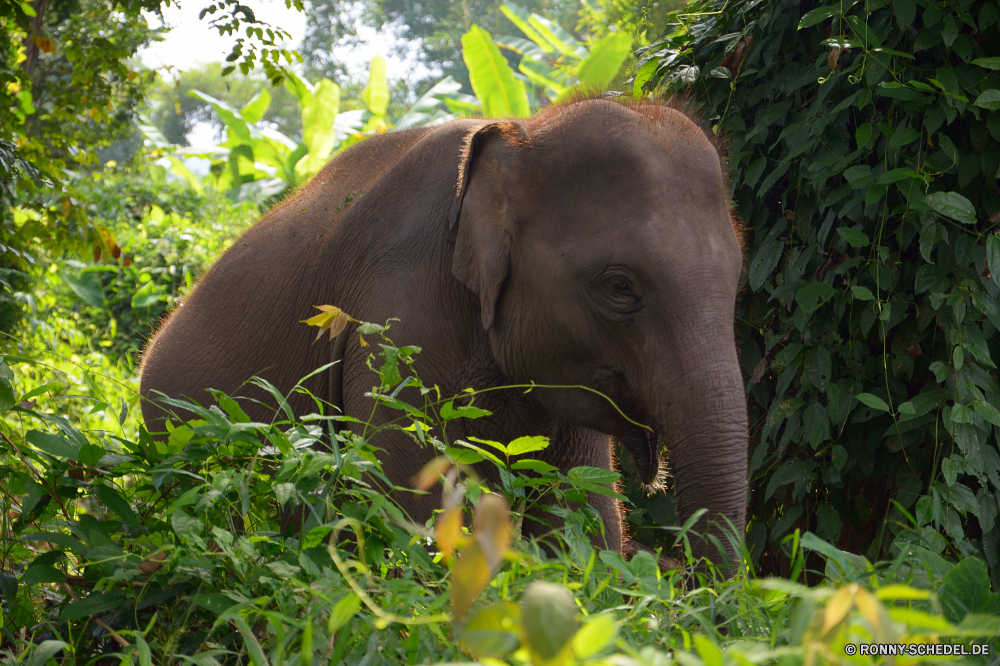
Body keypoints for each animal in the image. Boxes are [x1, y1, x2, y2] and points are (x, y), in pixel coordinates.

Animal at [143, 96, 752, 568]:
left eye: (736, 277)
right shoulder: (397, 318)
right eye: (620, 286)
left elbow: (583, 528)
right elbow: (416, 523)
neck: (520, 129)